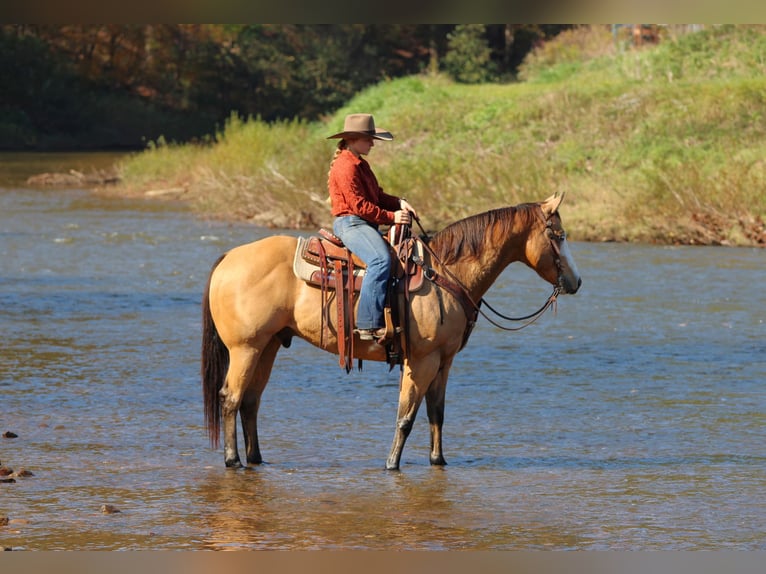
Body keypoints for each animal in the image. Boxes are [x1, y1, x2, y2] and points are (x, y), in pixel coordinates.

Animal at [201, 193, 581, 470]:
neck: (444, 274)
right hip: (245, 348)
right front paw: (391, 464)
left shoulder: (444, 362)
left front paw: (438, 460)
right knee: (230, 398)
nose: (575, 282)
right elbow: (406, 417)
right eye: (558, 236)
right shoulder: (422, 360)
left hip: (268, 346)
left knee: (251, 401)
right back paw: (233, 460)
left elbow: (436, 413)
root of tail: (229, 257)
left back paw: (256, 458)